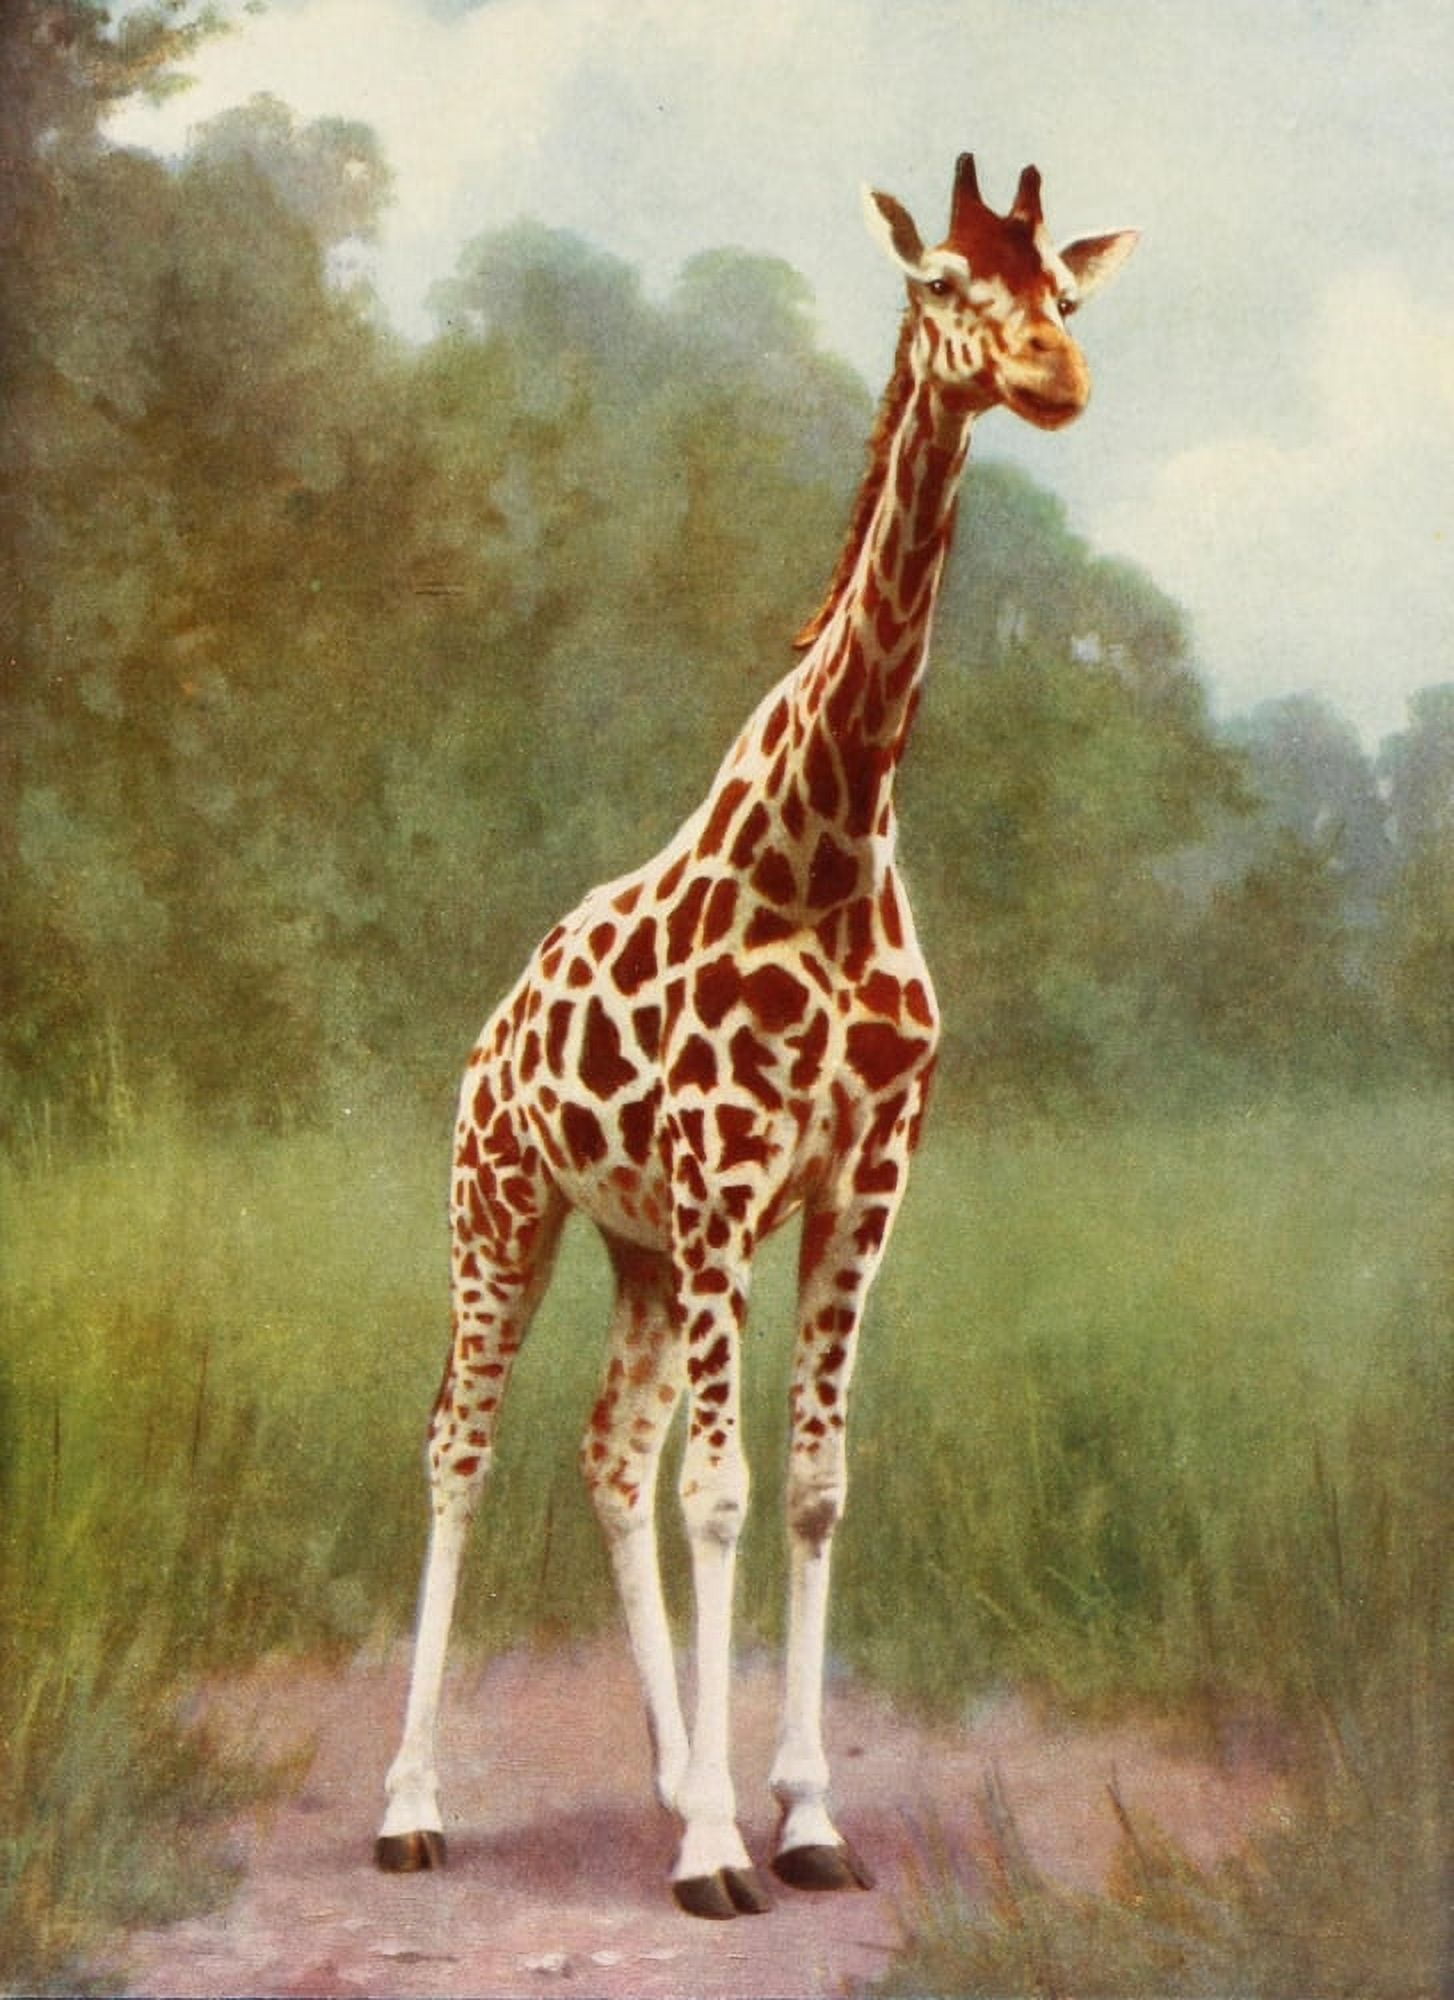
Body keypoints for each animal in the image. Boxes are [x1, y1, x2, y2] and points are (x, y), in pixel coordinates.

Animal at [375, 152, 1137, 1919]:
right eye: (942, 281)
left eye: (1064, 290)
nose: (1052, 376)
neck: (833, 841)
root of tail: (489, 1028)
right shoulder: (729, 1176)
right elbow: (721, 1494)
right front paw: (726, 1845)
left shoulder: (858, 1183)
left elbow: (809, 1483)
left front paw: (792, 1815)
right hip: (502, 1209)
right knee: (461, 1444)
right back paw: (414, 1805)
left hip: (641, 1249)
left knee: (606, 1448)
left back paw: (668, 1777)